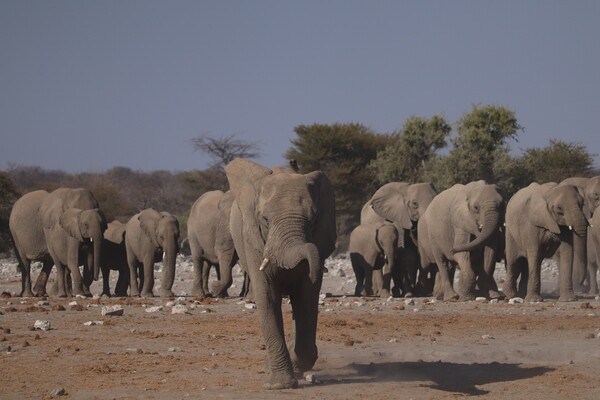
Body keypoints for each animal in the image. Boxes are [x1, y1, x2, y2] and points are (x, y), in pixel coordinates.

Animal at [226, 158, 338, 390]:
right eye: (265, 220)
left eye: (314, 221)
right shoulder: (253, 241)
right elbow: (268, 297)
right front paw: (279, 385)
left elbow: (306, 299)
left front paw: (297, 365)